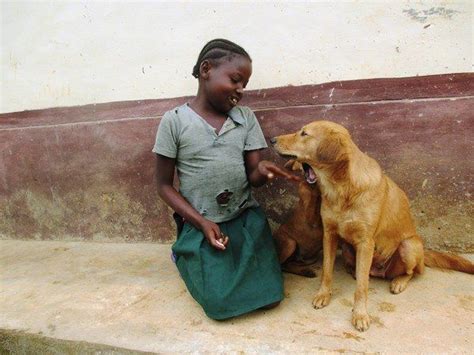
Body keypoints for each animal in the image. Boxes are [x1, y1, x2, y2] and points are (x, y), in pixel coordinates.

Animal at [270, 121, 474, 332]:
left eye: (304, 134)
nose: (272, 140)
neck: (341, 189)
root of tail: (381, 272)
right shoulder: (329, 235)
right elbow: (327, 271)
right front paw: (323, 295)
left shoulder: (366, 242)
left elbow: (362, 287)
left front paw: (360, 314)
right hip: (347, 248)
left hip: (409, 245)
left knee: (413, 272)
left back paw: (399, 282)